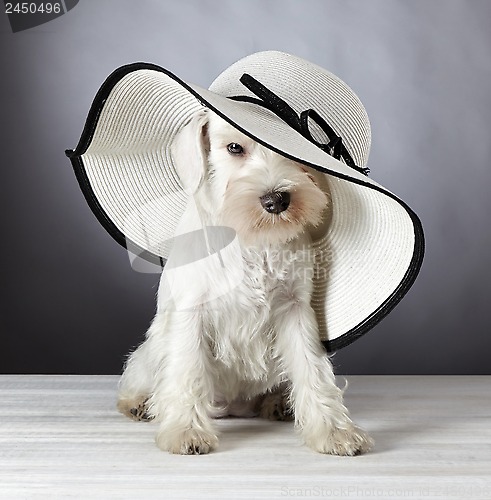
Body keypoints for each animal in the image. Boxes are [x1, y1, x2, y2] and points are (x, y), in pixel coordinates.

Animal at [118, 110, 372, 458]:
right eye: (235, 147)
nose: (276, 200)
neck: (254, 238)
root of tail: (233, 408)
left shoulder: (295, 310)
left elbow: (313, 370)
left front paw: (333, 431)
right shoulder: (192, 313)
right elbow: (188, 371)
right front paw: (186, 431)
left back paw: (279, 403)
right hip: (150, 352)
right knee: (139, 377)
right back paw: (139, 403)